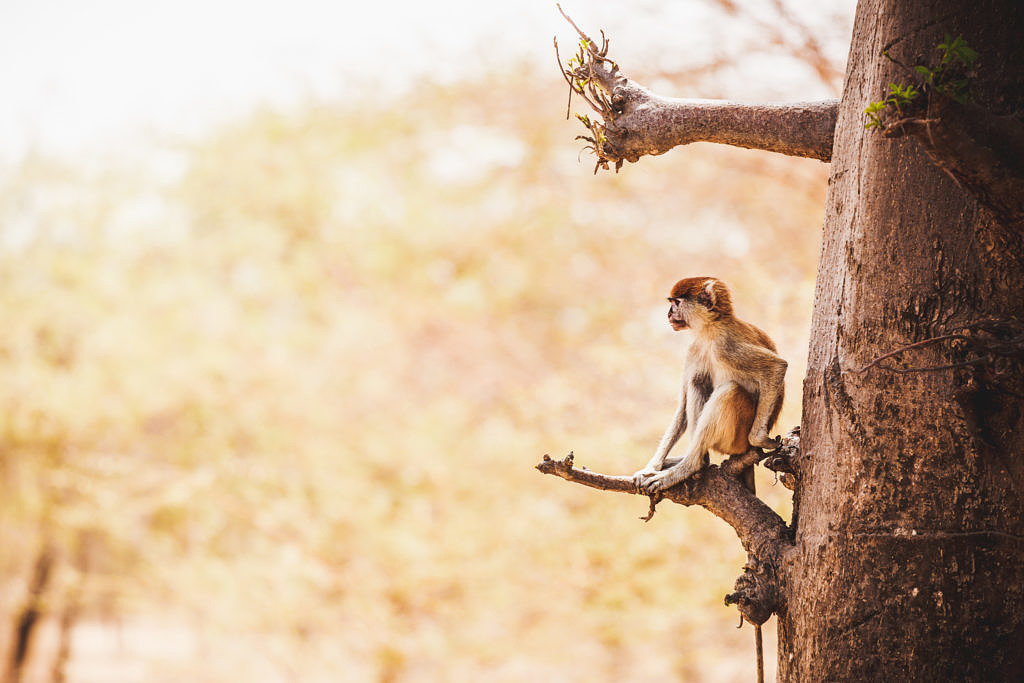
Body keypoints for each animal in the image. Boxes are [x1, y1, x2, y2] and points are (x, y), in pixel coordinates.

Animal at [633, 277, 786, 494]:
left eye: (676, 303)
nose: (669, 314)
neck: (711, 329)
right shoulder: (695, 349)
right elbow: (683, 406)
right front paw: (651, 467)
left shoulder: (726, 345)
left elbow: (777, 367)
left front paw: (760, 439)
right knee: (698, 381)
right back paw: (698, 462)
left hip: (736, 440)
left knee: (730, 391)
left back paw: (692, 465)